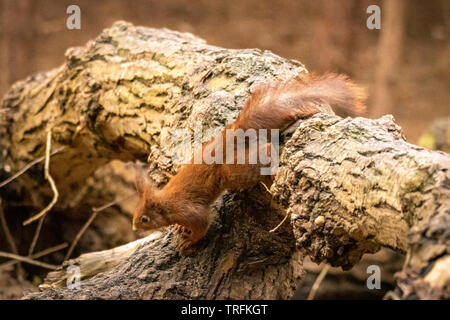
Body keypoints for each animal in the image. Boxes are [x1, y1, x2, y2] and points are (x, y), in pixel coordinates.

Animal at [133, 73, 366, 252]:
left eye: (144, 219)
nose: (134, 227)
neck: (165, 203)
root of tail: (235, 133)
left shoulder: (188, 210)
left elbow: (203, 224)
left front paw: (189, 240)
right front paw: (181, 229)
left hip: (233, 171)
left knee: (264, 151)